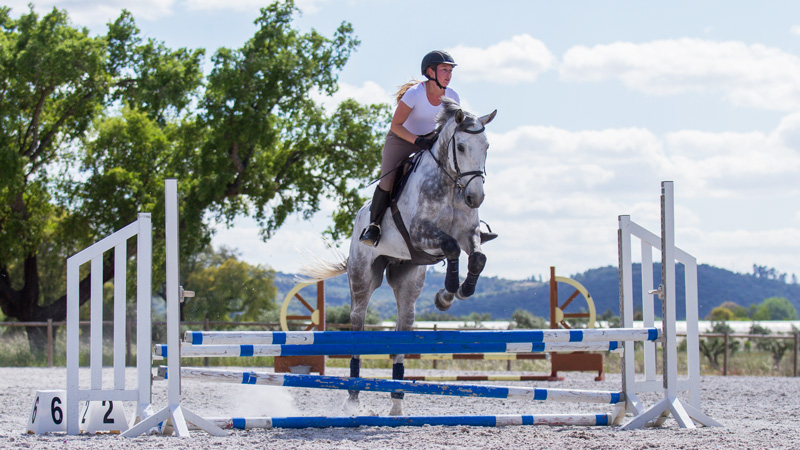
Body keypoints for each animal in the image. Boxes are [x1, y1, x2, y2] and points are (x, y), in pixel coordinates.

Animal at [304, 98, 496, 414]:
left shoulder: (469, 233)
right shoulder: (420, 233)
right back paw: (353, 398)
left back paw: (396, 405)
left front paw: (455, 293)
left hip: (406, 282)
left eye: (486, 146)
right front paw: (447, 294)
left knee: (402, 329)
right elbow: (451, 247)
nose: (475, 197)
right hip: (362, 279)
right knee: (357, 323)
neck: (449, 186)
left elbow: (477, 258)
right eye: (460, 147)